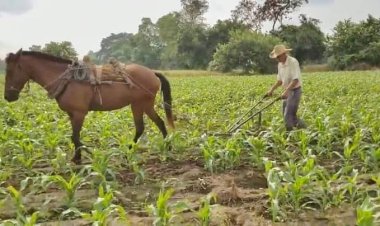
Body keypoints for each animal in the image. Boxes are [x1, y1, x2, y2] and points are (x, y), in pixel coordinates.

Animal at [3, 49, 175, 164]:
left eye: (10, 70)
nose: (7, 97)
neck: (68, 79)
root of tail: (152, 72)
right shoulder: (71, 114)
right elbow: (74, 136)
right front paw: (77, 157)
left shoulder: (79, 113)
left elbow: (75, 137)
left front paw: (87, 155)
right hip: (144, 105)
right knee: (158, 123)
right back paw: (167, 147)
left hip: (139, 104)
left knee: (141, 127)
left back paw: (130, 152)